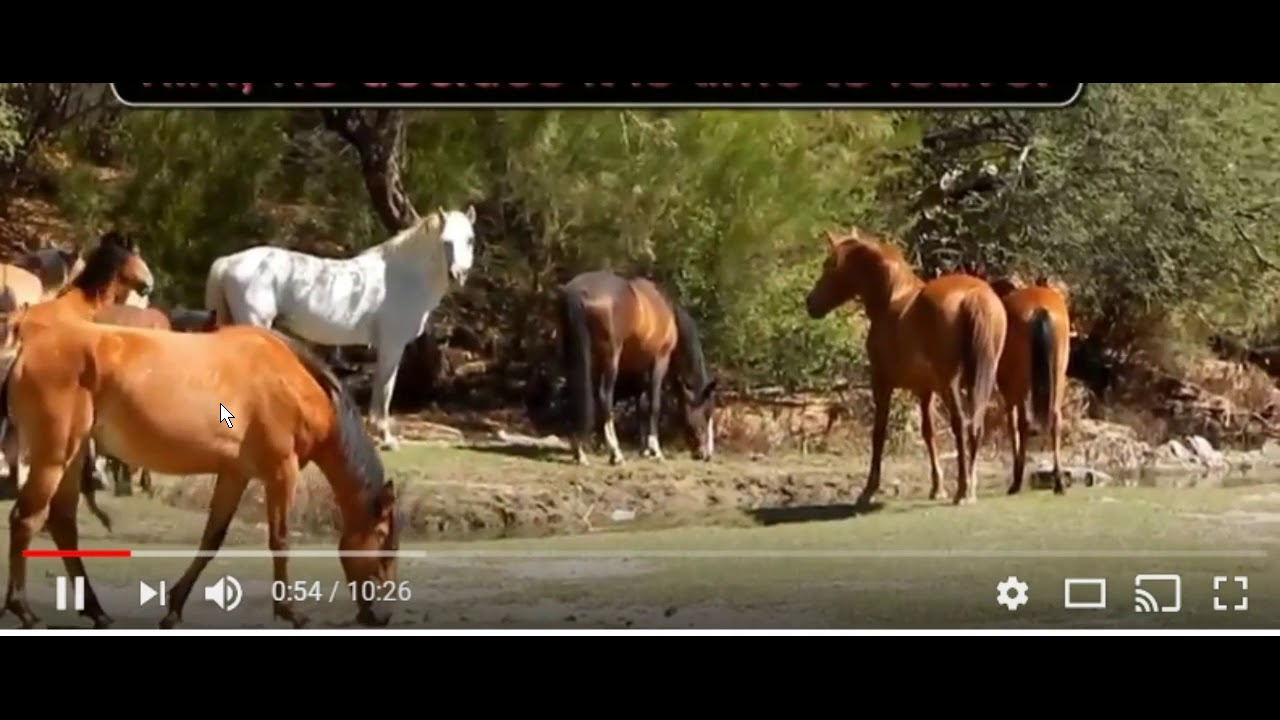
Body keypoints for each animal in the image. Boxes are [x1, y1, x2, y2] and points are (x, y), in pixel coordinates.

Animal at [0, 312, 401, 630]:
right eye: (382, 538)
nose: (383, 616)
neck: (294, 384)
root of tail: (26, 347)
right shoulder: (280, 472)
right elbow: (280, 541)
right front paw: (290, 612)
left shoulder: (236, 475)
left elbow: (212, 539)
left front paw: (174, 608)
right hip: (54, 457)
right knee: (25, 519)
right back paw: (25, 612)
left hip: (71, 458)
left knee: (62, 524)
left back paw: (96, 611)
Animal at [205, 207, 478, 451]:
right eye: (446, 241)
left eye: (470, 239)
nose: (458, 275)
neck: (402, 277)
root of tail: (229, 261)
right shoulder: (392, 344)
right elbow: (385, 388)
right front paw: (386, 439)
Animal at [557, 271, 718, 467]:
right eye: (707, 414)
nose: (707, 454)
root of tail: (577, 292)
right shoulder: (659, 360)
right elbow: (654, 405)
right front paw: (655, 450)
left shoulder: (640, 371)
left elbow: (640, 406)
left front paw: (644, 450)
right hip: (610, 358)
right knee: (605, 396)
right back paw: (615, 453)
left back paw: (579, 451)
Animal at [805, 228, 1008, 507]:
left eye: (829, 265)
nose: (810, 303)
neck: (892, 299)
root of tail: (973, 295)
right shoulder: (925, 390)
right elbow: (928, 432)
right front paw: (937, 487)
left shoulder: (882, 383)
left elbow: (879, 433)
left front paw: (868, 490)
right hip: (981, 379)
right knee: (975, 424)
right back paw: (970, 489)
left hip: (951, 383)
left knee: (961, 423)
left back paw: (962, 490)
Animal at [984, 275, 1073, 496]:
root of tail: (1040, 309)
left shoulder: (1008, 392)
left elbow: (1013, 425)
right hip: (1058, 375)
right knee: (1055, 419)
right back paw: (1059, 481)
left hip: (1022, 383)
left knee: (1025, 422)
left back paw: (1017, 483)